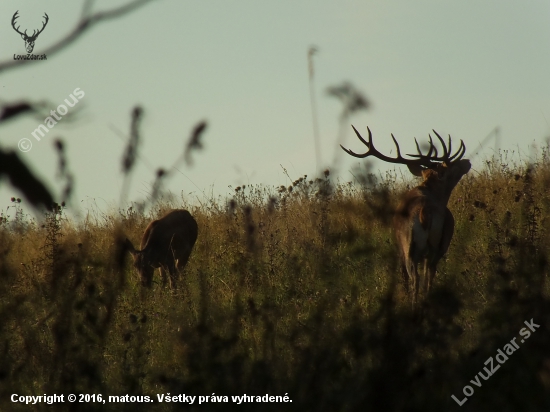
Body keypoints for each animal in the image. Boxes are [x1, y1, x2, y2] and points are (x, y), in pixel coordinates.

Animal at [342, 127, 472, 304]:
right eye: (449, 166)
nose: (467, 162)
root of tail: (425, 212)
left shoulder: (399, 246)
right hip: (438, 246)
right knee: (428, 275)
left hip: (410, 245)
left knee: (415, 277)